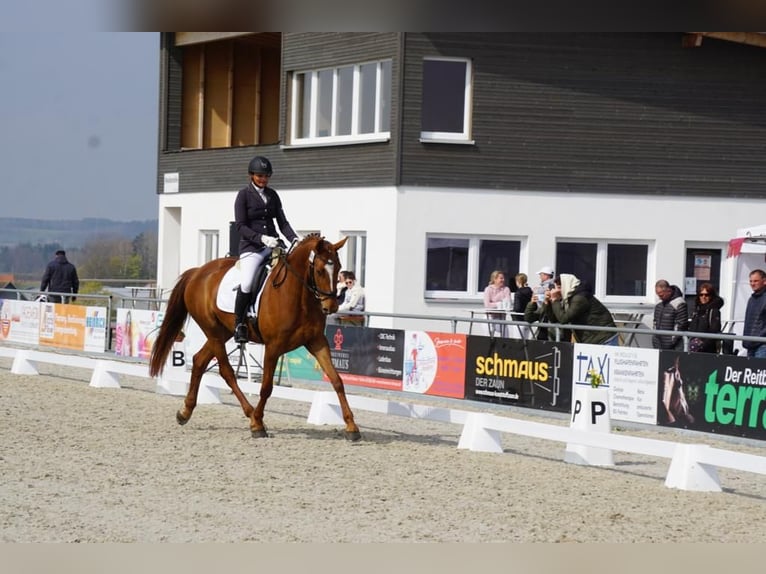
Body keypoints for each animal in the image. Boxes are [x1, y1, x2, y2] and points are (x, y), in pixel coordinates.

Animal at [152, 234, 364, 440]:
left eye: (338, 268)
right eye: (319, 271)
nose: (331, 307)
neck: (298, 295)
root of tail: (197, 272)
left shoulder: (317, 342)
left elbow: (337, 381)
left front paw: (352, 427)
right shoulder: (273, 346)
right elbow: (266, 387)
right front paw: (257, 425)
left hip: (222, 332)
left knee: (198, 361)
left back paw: (185, 412)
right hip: (213, 332)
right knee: (226, 372)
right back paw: (250, 414)